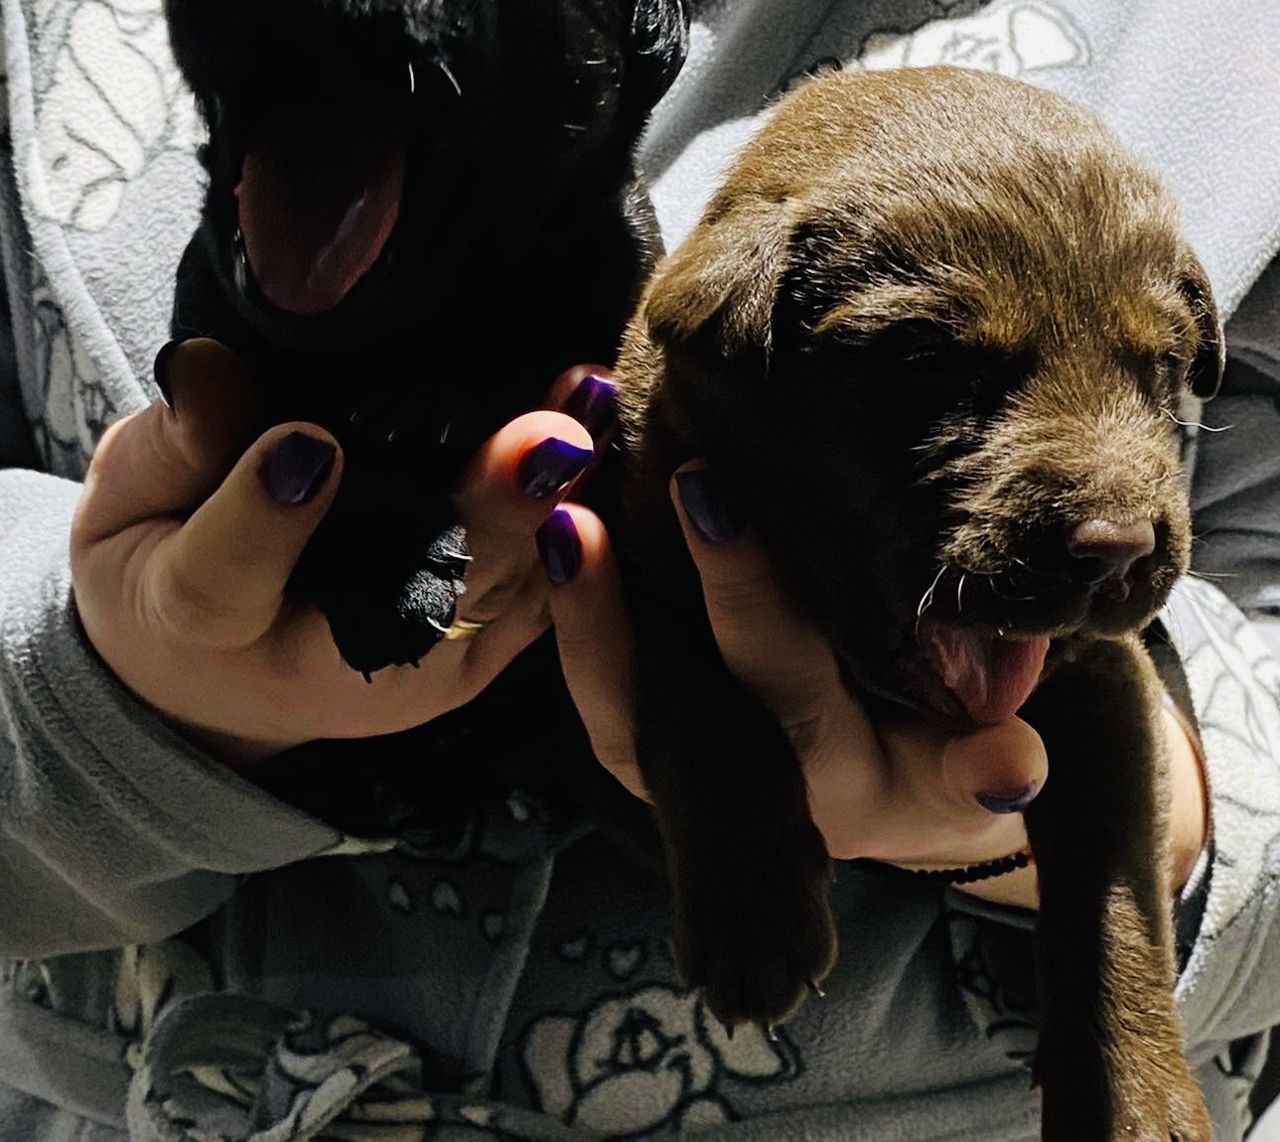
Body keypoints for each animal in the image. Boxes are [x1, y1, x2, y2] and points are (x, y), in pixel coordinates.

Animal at [614, 66, 1222, 1141]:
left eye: (1160, 369)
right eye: (929, 367)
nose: (1118, 549)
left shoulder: (1101, 677)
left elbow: (1110, 883)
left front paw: (1132, 1099)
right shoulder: (651, 541)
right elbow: (705, 703)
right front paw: (752, 911)